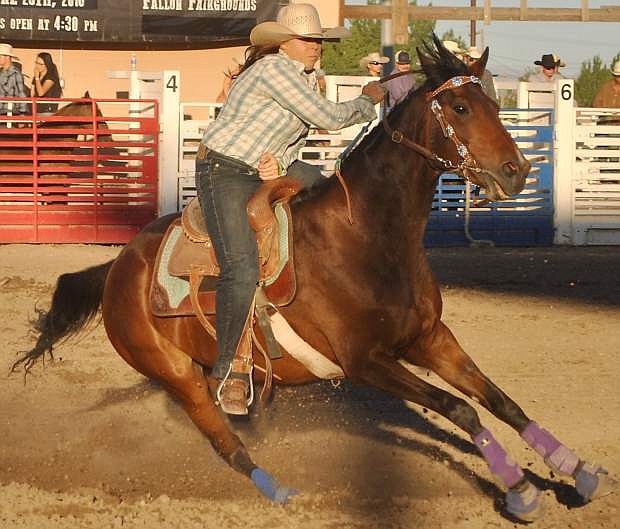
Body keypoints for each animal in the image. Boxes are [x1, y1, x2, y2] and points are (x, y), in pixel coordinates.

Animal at [10, 37, 616, 520]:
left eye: (494, 101)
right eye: (462, 106)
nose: (517, 171)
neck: (367, 238)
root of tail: (119, 267)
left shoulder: (430, 338)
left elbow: (500, 401)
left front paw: (579, 471)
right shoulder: (365, 361)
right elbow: (461, 408)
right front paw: (519, 491)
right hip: (175, 375)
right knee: (223, 441)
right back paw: (279, 491)